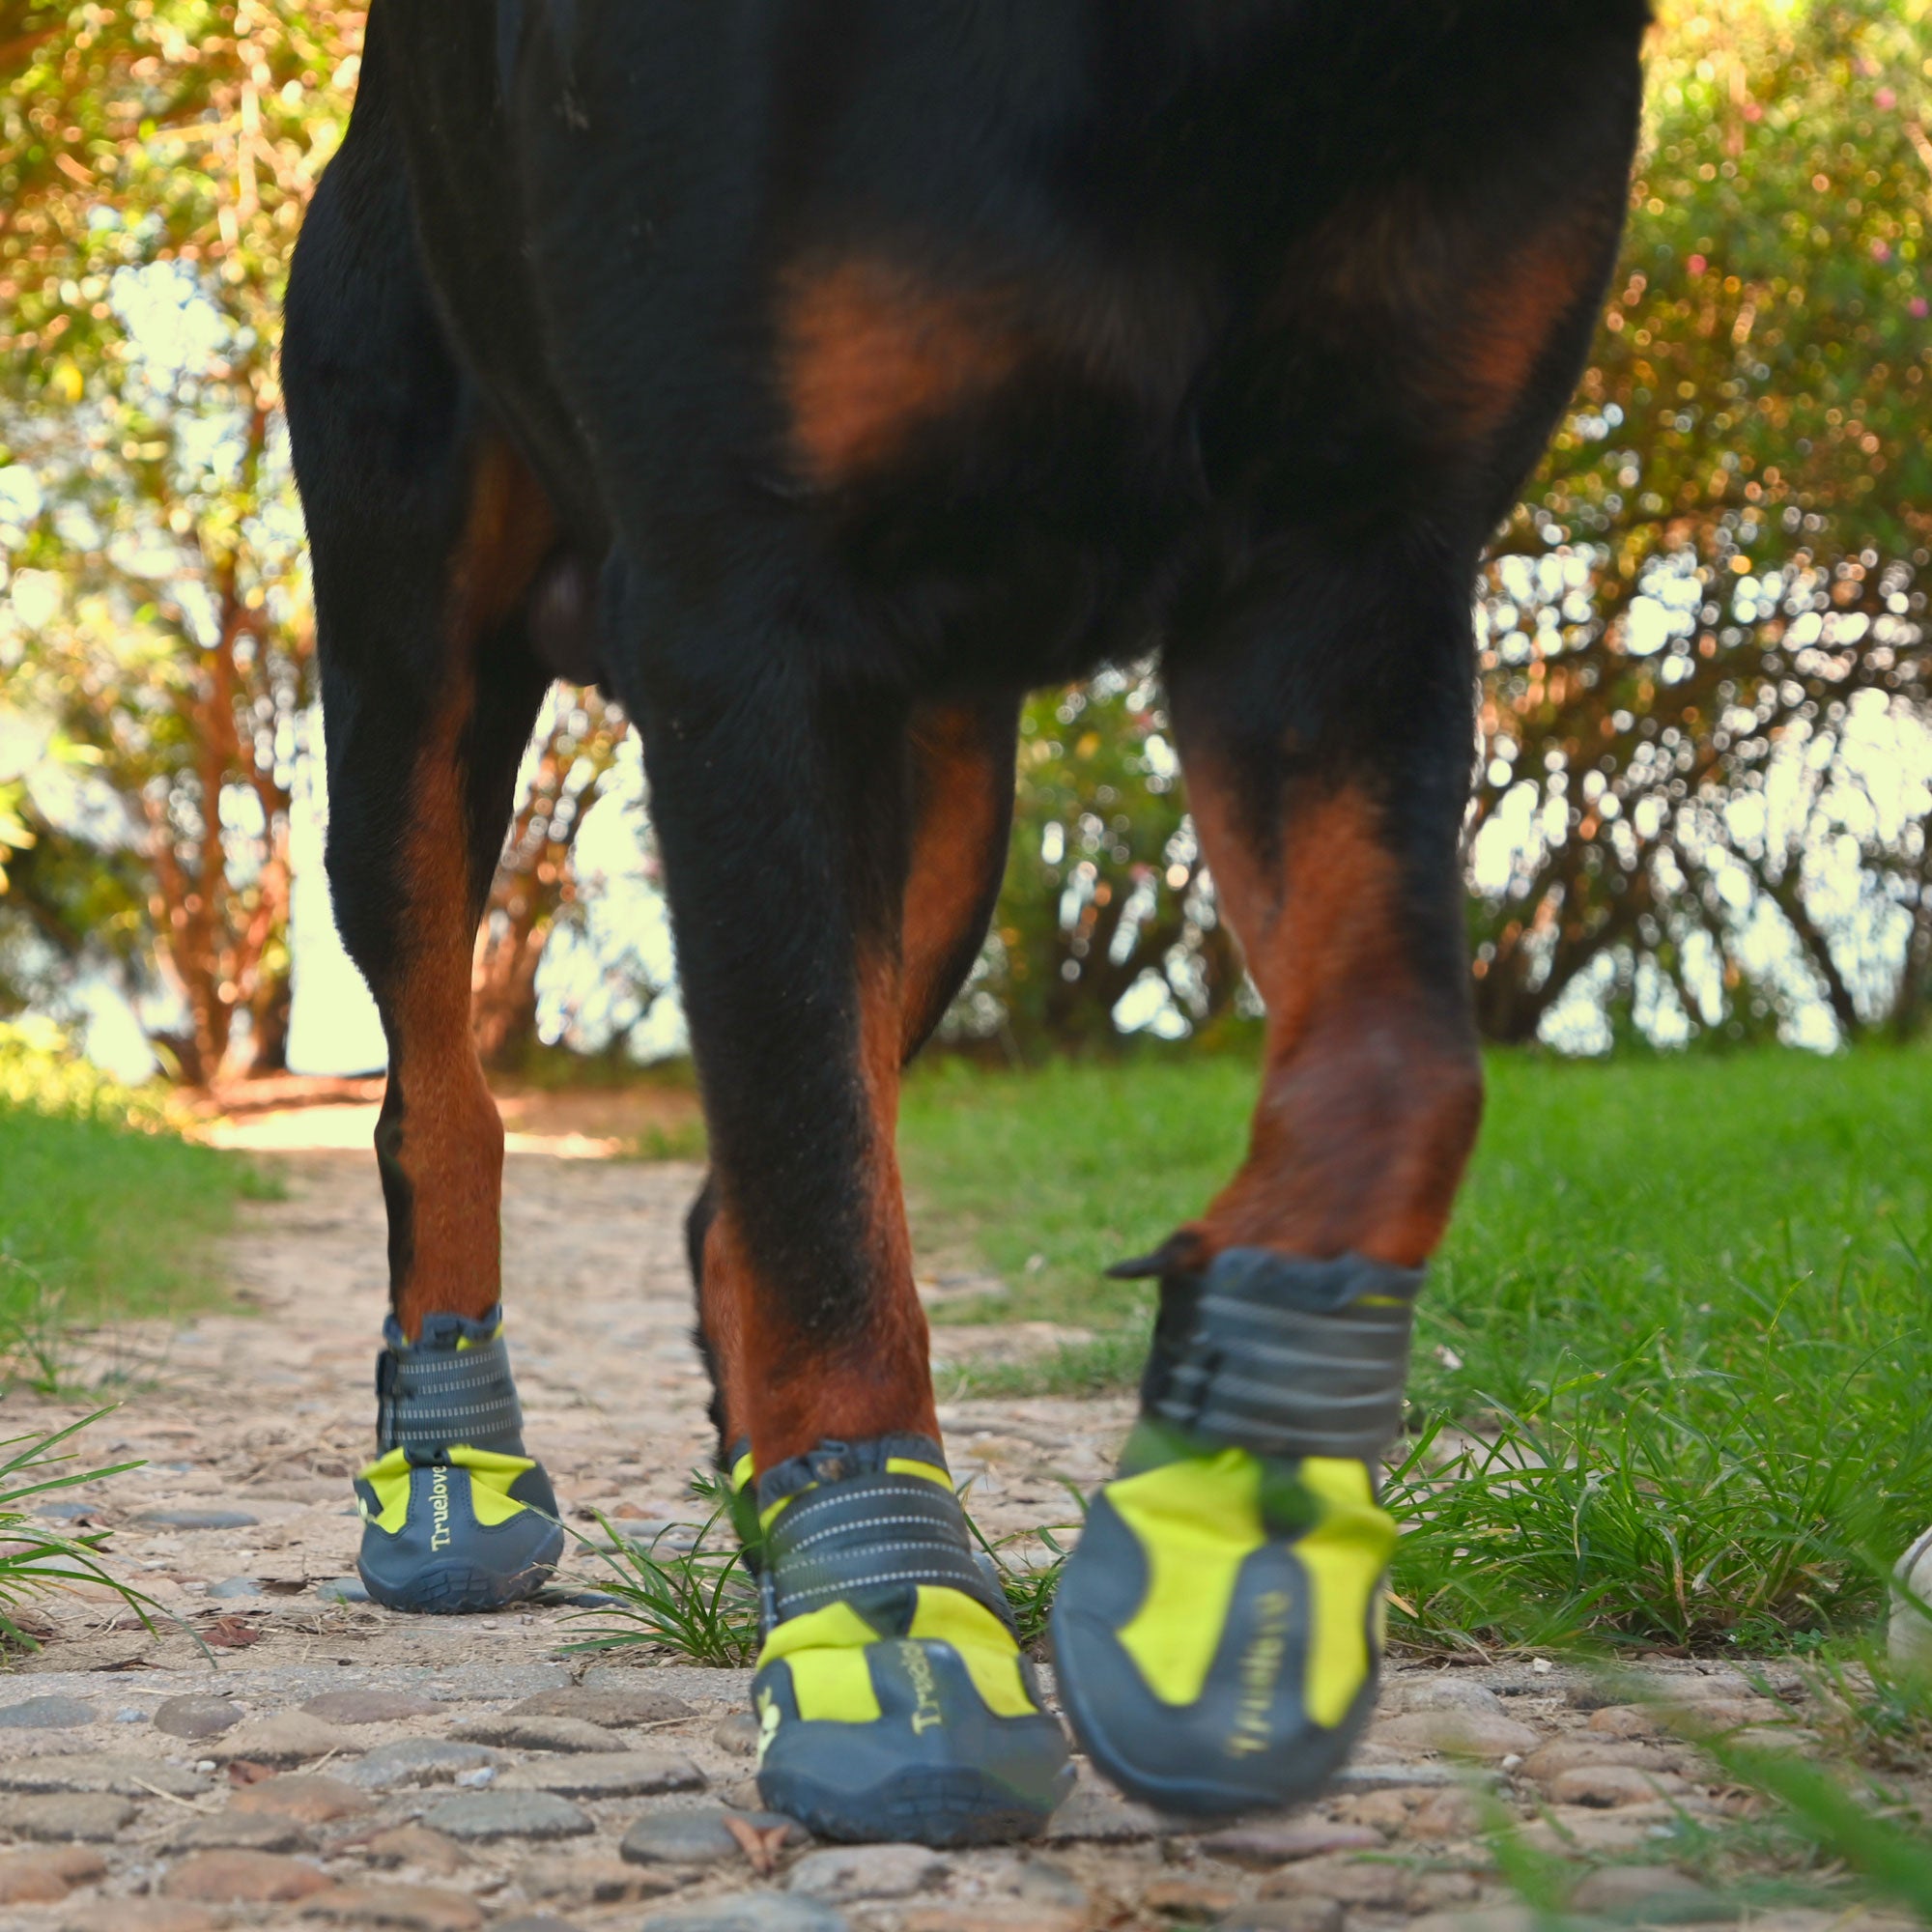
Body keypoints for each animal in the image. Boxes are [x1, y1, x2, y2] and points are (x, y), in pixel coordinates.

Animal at [282, 0, 1646, 1839]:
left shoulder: (1354, 563)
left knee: (745, 1180)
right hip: (412, 658)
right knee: (444, 1091)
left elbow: (1403, 1065)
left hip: (947, 784)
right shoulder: (747, 619)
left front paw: (1233, 1529)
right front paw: (896, 1636)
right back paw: (455, 1472)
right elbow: (824, 1209)